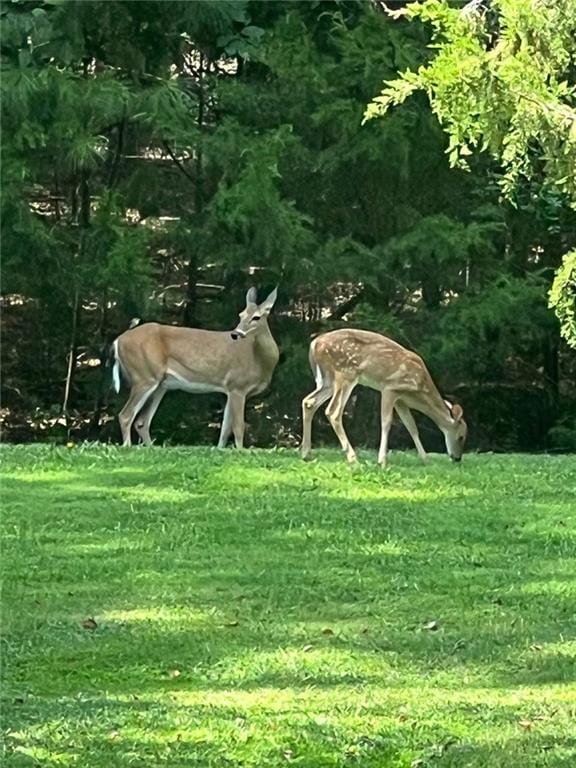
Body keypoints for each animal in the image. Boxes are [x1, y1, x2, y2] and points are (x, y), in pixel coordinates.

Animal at [112, 286, 280, 444]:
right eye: (241, 315)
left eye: (256, 317)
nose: (235, 333)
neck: (259, 361)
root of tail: (118, 340)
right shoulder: (237, 386)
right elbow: (238, 427)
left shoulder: (230, 390)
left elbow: (225, 429)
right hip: (144, 375)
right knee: (125, 415)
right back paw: (127, 446)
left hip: (160, 385)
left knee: (142, 421)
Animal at [302, 328, 468, 464]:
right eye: (461, 437)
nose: (457, 458)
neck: (419, 389)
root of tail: (314, 344)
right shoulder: (390, 387)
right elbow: (387, 423)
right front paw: (382, 461)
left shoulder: (401, 400)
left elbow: (411, 426)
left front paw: (425, 459)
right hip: (345, 374)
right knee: (333, 411)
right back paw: (353, 458)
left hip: (327, 381)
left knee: (309, 402)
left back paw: (306, 454)